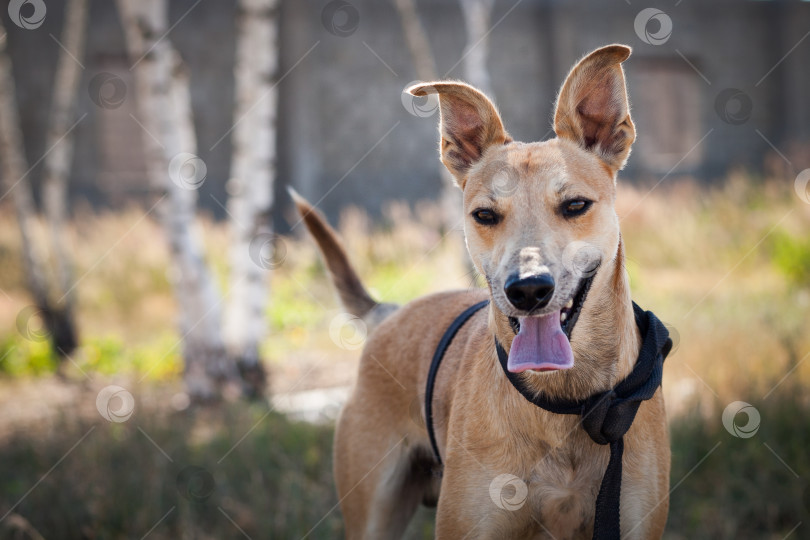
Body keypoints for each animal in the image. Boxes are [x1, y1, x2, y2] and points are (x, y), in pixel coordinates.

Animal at [294, 44, 664, 536]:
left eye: (575, 205)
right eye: (485, 215)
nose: (528, 289)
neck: (569, 403)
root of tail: (388, 313)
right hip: (373, 510)